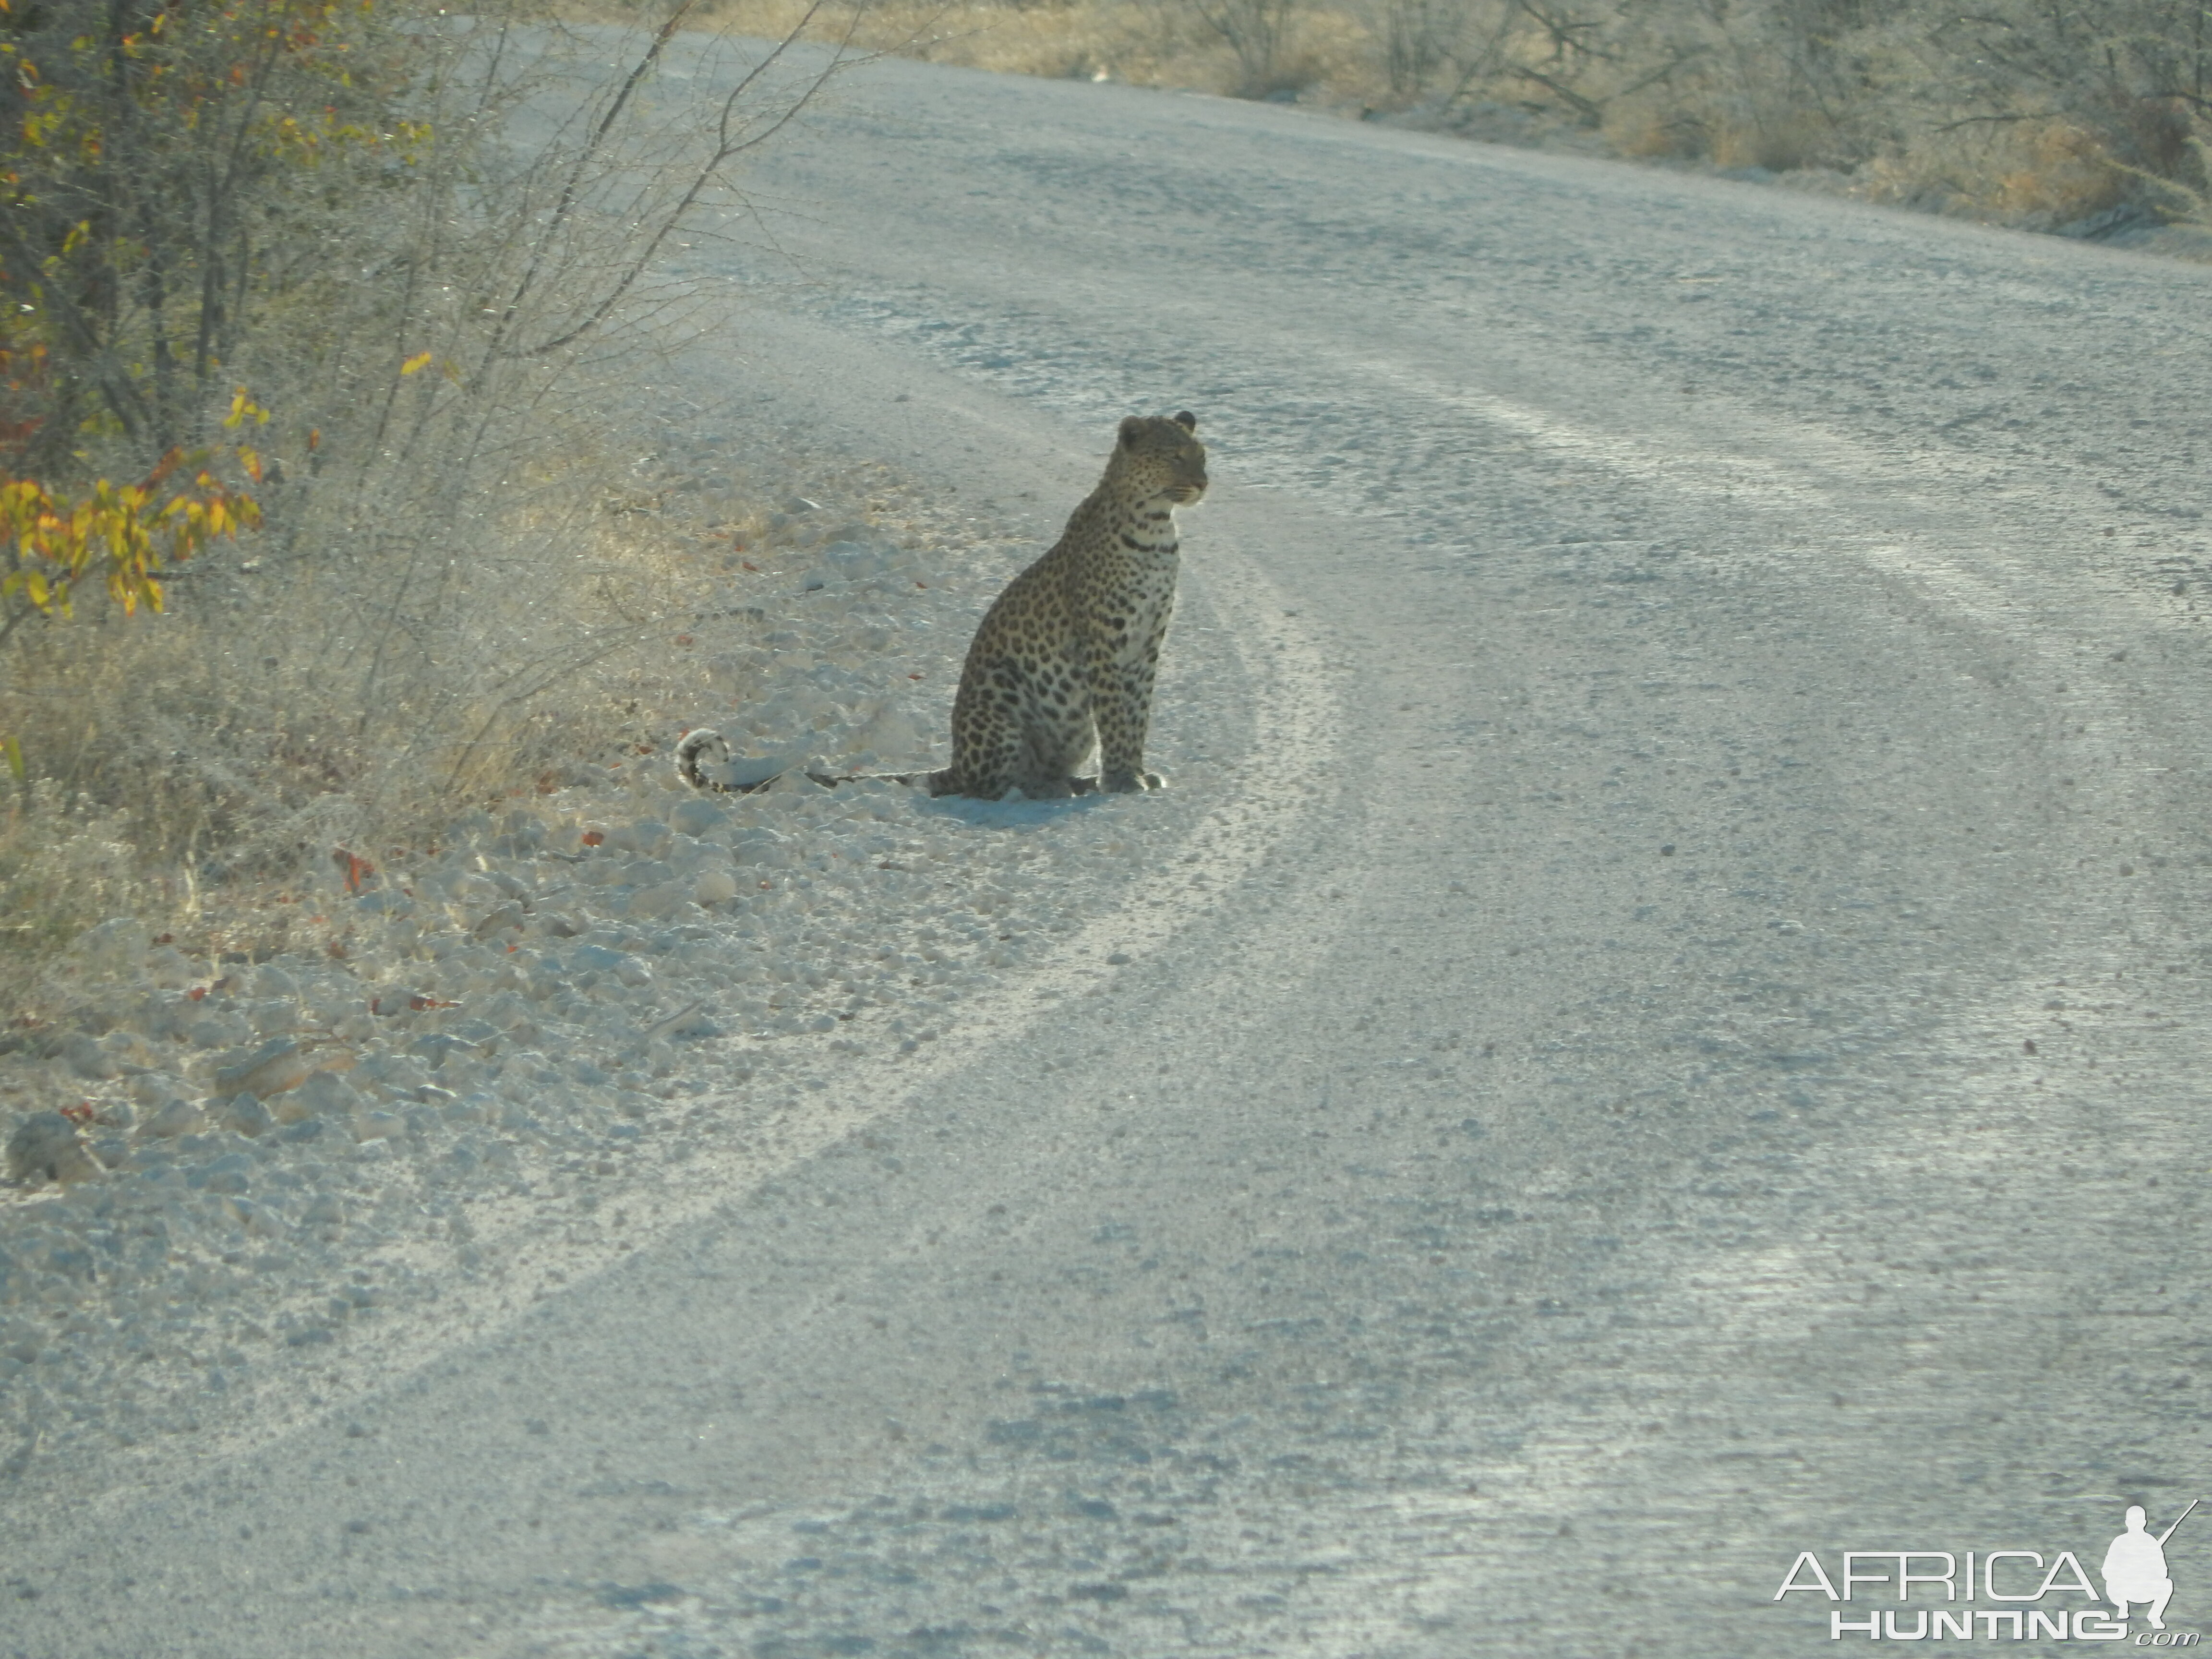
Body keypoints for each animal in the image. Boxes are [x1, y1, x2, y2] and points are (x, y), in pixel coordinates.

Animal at [681, 413, 1221, 805]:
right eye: (1175, 457)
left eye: (1202, 456)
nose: (1203, 484)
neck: (1158, 529)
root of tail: (956, 763)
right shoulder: (1107, 642)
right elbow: (1116, 713)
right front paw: (1123, 779)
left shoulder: (1148, 643)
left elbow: (1137, 714)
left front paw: (1135, 772)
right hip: (1002, 689)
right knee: (991, 787)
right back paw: (1047, 789)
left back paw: (1073, 782)